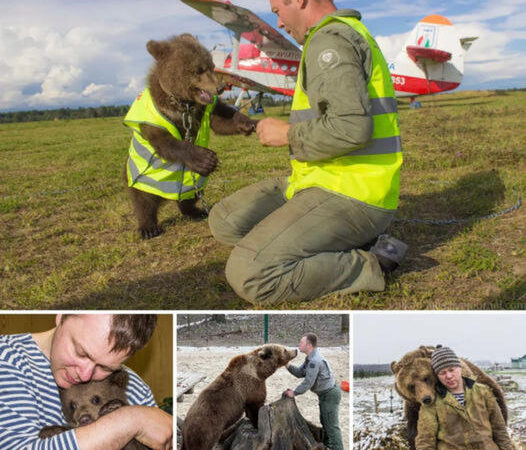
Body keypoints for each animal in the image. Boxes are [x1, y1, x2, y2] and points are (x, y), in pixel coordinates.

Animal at [122, 33, 256, 239]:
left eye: (211, 65)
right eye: (198, 70)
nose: (220, 87)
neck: (183, 104)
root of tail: (166, 196)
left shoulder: (201, 111)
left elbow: (221, 120)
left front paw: (247, 122)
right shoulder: (157, 116)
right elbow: (167, 143)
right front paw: (206, 159)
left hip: (190, 184)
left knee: (188, 196)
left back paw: (195, 210)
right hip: (141, 177)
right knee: (143, 199)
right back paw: (148, 227)